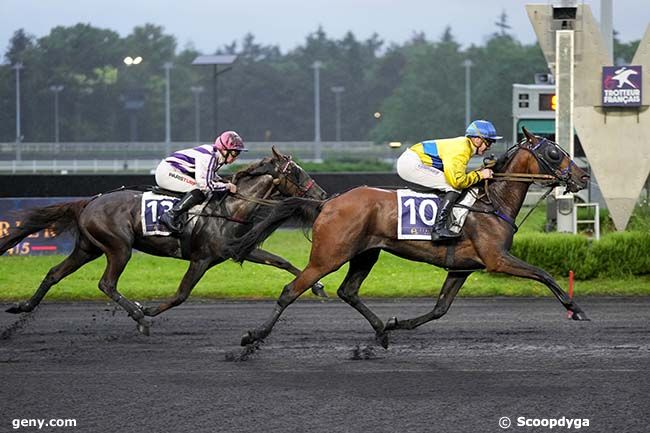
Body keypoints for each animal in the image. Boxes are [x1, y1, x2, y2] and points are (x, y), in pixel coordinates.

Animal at [0, 148, 324, 334]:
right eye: (296, 171)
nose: (320, 194)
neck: (230, 208)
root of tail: (89, 201)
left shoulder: (235, 250)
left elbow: (281, 261)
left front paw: (317, 286)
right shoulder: (201, 259)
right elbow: (181, 295)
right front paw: (148, 311)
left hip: (87, 248)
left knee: (54, 273)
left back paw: (23, 307)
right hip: (118, 247)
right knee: (106, 284)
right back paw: (139, 316)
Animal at [227, 128, 588, 348]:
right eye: (554, 153)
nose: (583, 176)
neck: (491, 201)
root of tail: (327, 202)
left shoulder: (462, 267)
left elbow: (440, 308)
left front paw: (396, 323)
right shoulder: (497, 260)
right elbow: (543, 273)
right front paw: (574, 308)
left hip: (365, 254)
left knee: (348, 291)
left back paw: (381, 331)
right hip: (328, 256)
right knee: (291, 290)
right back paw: (252, 338)